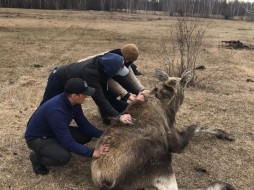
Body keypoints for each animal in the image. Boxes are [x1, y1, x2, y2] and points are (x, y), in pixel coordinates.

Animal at [90, 68, 235, 190]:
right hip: (162, 159)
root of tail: (106, 182)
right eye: (184, 84)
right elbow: (195, 126)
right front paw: (226, 134)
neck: (172, 106)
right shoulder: (176, 144)